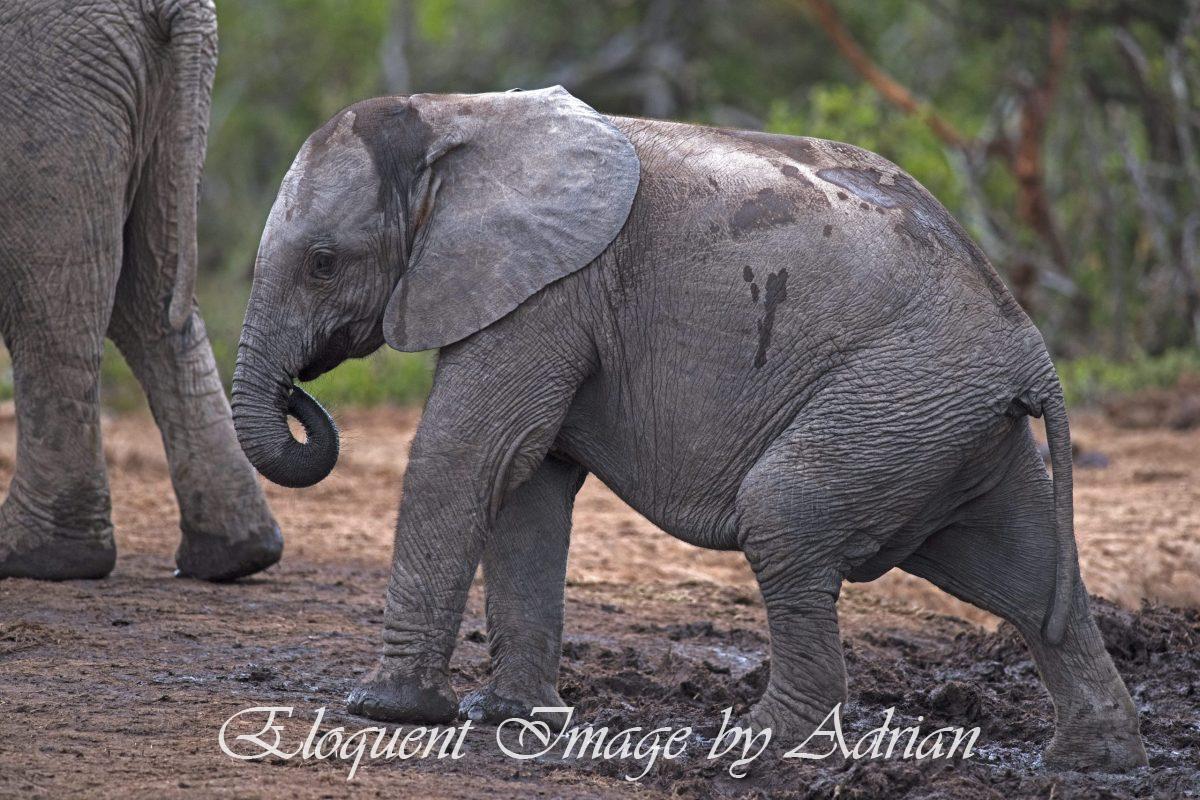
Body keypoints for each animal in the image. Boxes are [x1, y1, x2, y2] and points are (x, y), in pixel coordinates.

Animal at [231, 86, 1147, 771]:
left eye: (322, 263)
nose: (303, 393)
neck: (459, 118)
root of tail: (1030, 348)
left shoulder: (547, 292)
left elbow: (471, 457)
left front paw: (384, 709)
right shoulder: (545, 291)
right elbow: (526, 485)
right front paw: (512, 719)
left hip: (905, 392)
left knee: (785, 509)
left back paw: (751, 746)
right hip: (945, 417)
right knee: (1023, 570)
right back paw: (1094, 757)